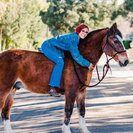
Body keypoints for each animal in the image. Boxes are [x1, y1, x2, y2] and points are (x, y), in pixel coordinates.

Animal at [0, 23, 129, 133]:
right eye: (115, 40)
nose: (126, 61)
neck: (79, 60)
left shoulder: (81, 92)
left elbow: (82, 111)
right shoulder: (71, 91)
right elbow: (68, 111)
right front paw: (66, 130)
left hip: (12, 90)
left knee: (5, 112)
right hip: (4, 90)